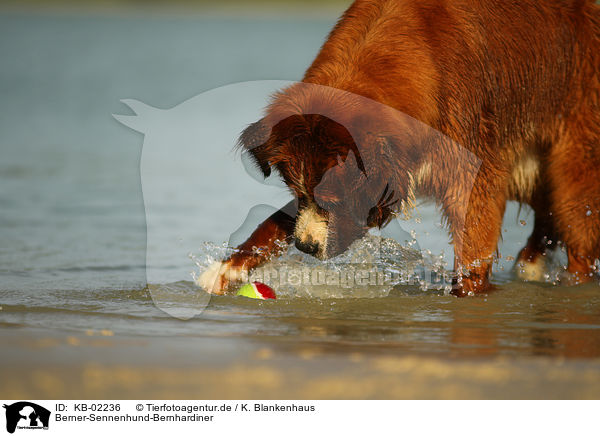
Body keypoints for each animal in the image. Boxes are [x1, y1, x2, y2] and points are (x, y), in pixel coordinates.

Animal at [199, 0, 596, 296]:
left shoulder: (472, 172)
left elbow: (473, 246)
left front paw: (466, 294)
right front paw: (226, 269)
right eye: (296, 191)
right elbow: (275, 222)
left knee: (578, 234)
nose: (306, 247)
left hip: (573, 162)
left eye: (336, 198)